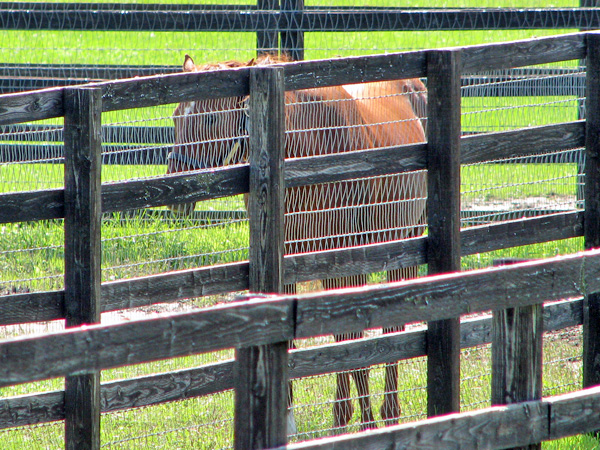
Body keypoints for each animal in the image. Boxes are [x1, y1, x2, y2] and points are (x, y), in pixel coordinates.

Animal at [166, 54, 428, 434]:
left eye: (211, 118)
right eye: (175, 116)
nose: (176, 186)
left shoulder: (344, 262)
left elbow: (352, 342)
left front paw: (357, 423)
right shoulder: (287, 263)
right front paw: (290, 421)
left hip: (400, 245)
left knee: (392, 327)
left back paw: (388, 413)